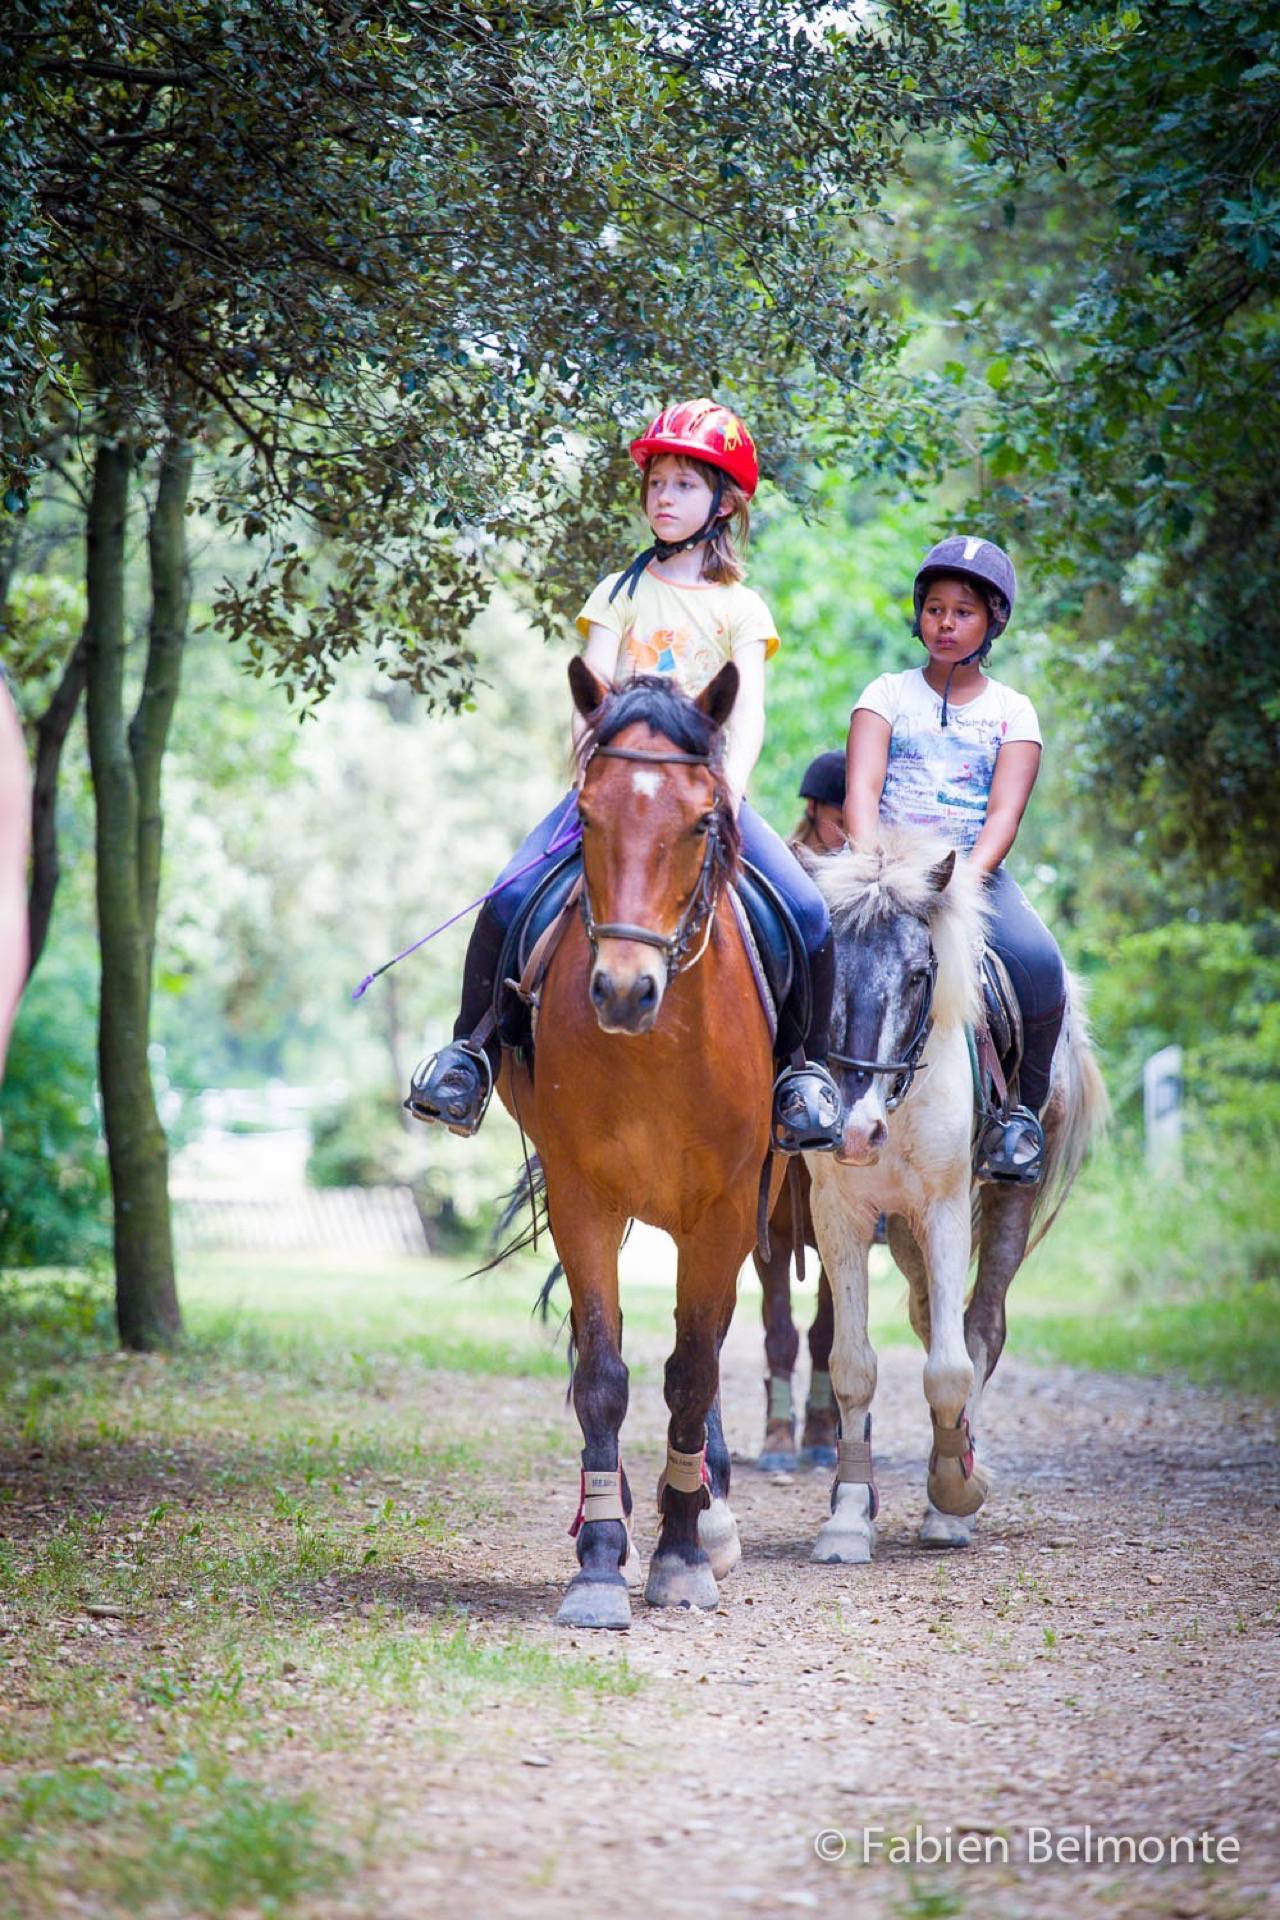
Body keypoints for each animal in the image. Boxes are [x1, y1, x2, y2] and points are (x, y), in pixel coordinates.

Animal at [500, 659, 782, 1629]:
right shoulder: (582, 1195)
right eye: (585, 814)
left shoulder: (726, 1210)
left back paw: (705, 1506)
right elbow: (603, 1372)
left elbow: (693, 1370)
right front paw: (597, 1559)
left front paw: (685, 1553)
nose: (624, 991)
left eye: (700, 820)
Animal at [802, 828, 1107, 1561]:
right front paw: (847, 1519)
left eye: (920, 974)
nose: (854, 1129)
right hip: (903, 1231)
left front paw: (954, 1495)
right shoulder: (840, 1215)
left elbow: (950, 1365)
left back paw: (955, 1489)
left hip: (1003, 1201)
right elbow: (852, 1366)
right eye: (827, 970)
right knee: (929, 1316)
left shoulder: (943, 1209)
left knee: (980, 1328)